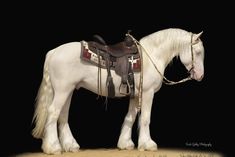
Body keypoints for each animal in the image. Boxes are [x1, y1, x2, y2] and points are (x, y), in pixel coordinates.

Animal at [31, 27, 204, 153]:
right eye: (198, 52)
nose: (200, 76)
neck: (151, 56)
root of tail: (53, 52)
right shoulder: (147, 93)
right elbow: (145, 118)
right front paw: (147, 144)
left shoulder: (135, 95)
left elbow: (130, 117)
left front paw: (125, 143)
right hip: (63, 91)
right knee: (53, 112)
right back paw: (53, 147)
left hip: (68, 90)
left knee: (62, 116)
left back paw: (70, 145)